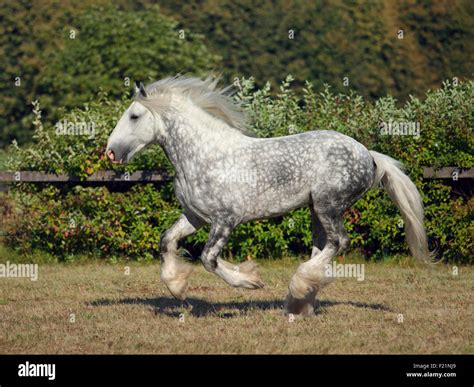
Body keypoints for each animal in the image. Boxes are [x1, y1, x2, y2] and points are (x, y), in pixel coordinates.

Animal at [105, 75, 432, 316]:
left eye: (134, 116)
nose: (110, 152)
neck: (205, 155)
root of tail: (369, 155)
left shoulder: (225, 220)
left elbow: (208, 259)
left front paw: (249, 281)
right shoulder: (196, 216)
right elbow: (167, 241)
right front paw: (178, 289)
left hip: (329, 205)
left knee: (339, 242)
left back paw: (298, 290)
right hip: (316, 210)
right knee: (322, 249)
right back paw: (300, 303)